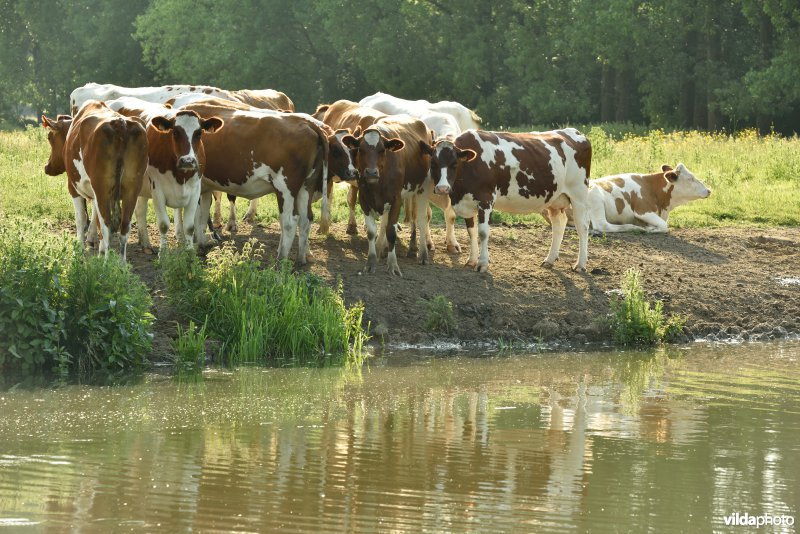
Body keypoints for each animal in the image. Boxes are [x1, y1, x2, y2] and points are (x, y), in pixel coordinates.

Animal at [42, 102, 148, 262]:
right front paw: (97, 246)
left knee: (107, 225)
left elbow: (81, 218)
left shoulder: (73, 187)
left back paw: (106, 264)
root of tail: (120, 123)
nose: (47, 167)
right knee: (124, 225)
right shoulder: (96, 193)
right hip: (132, 188)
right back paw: (122, 264)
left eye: (50, 137)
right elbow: (95, 216)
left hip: (102, 187)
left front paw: (80, 250)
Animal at [350, 116, 434, 276]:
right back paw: (379, 249)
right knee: (384, 223)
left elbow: (391, 232)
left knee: (421, 219)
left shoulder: (396, 200)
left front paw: (393, 266)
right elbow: (372, 232)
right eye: (361, 150)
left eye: (382, 150)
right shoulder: (364, 199)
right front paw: (371, 262)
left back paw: (423, 254)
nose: (371, 172)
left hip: (423, 188)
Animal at [434, 129, 592, 272]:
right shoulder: (467, 201)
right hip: (555, 198)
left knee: (582, 226)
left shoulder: (486, 199)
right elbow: (471, 232)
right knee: (559, 224)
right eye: (433, 162)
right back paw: (550, 259)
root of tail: (575, 132)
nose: (442, 188)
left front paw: (482, 263)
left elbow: (483, 232)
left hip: (578, 194)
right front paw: (471, 260)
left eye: (454, 163)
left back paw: (580, 264)